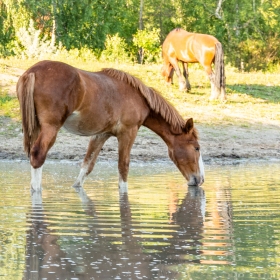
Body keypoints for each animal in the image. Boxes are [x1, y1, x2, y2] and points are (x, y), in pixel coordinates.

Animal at [17, 60, 205, 191]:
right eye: (196, 148)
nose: (200, 179)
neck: (139, 97)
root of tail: (32, 72)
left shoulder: (101, 134)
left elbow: (87, 165)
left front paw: (77, 187)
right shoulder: (128, 133)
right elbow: (123, 166)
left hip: (36, 127)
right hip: (50, 128)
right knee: (38, 155)